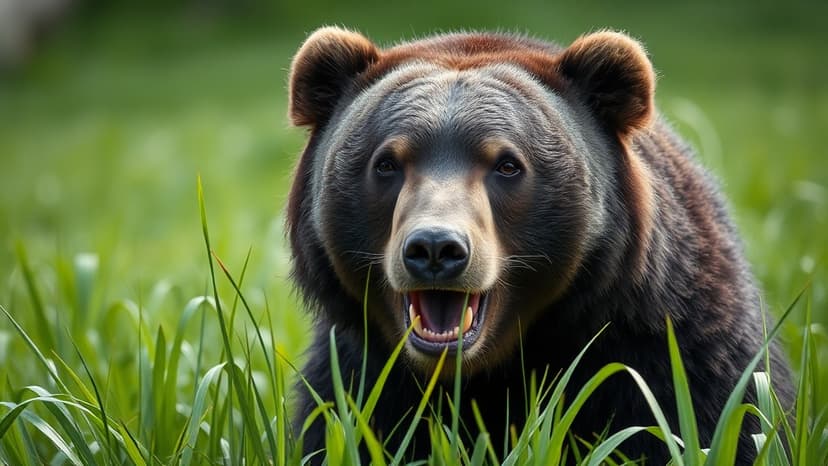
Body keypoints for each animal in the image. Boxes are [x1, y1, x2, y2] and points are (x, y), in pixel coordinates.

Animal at [285, 27, 793, 464]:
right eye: (387, 162)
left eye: (507, 164)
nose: (435, 248)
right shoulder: (362, 380)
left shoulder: (669, 357)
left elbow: (717, 425)